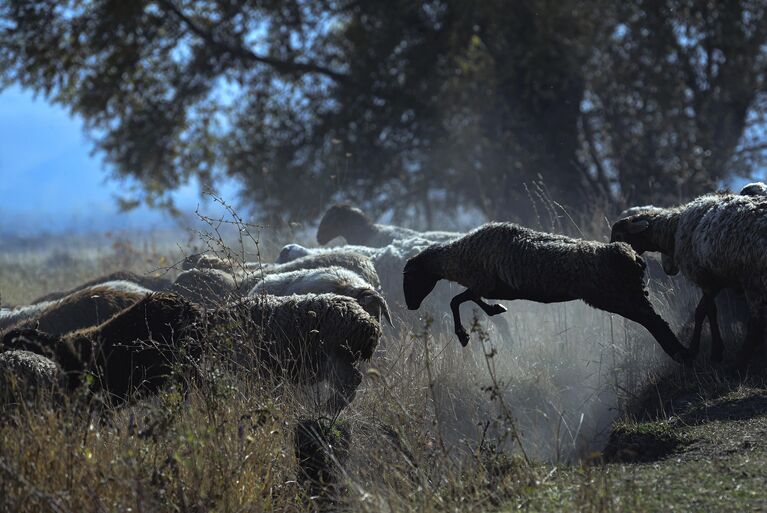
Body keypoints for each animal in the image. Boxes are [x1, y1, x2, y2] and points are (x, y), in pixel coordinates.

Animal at [402, 223, 688, 360]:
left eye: (410, 277)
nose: (410, 307)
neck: (458, 256)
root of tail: (630, 255)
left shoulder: (482, 281)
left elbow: (456, 300)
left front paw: (463, 335)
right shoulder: (490, 286)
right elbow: (471, 300)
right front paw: (495, 309)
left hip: (617, 296)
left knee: (655, 322)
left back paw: (680, 355)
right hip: (629, 295)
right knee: (654, 321)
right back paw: (682, 353)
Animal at [612, 193, 767, 364]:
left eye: (618, 235)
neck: (673, 229)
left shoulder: (704, 278)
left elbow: (706, 311)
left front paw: (711, 351)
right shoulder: (715, 281)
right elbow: (703, 311)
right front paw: (704, 349)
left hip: (754, 278)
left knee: (757, 324)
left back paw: (739, 361)